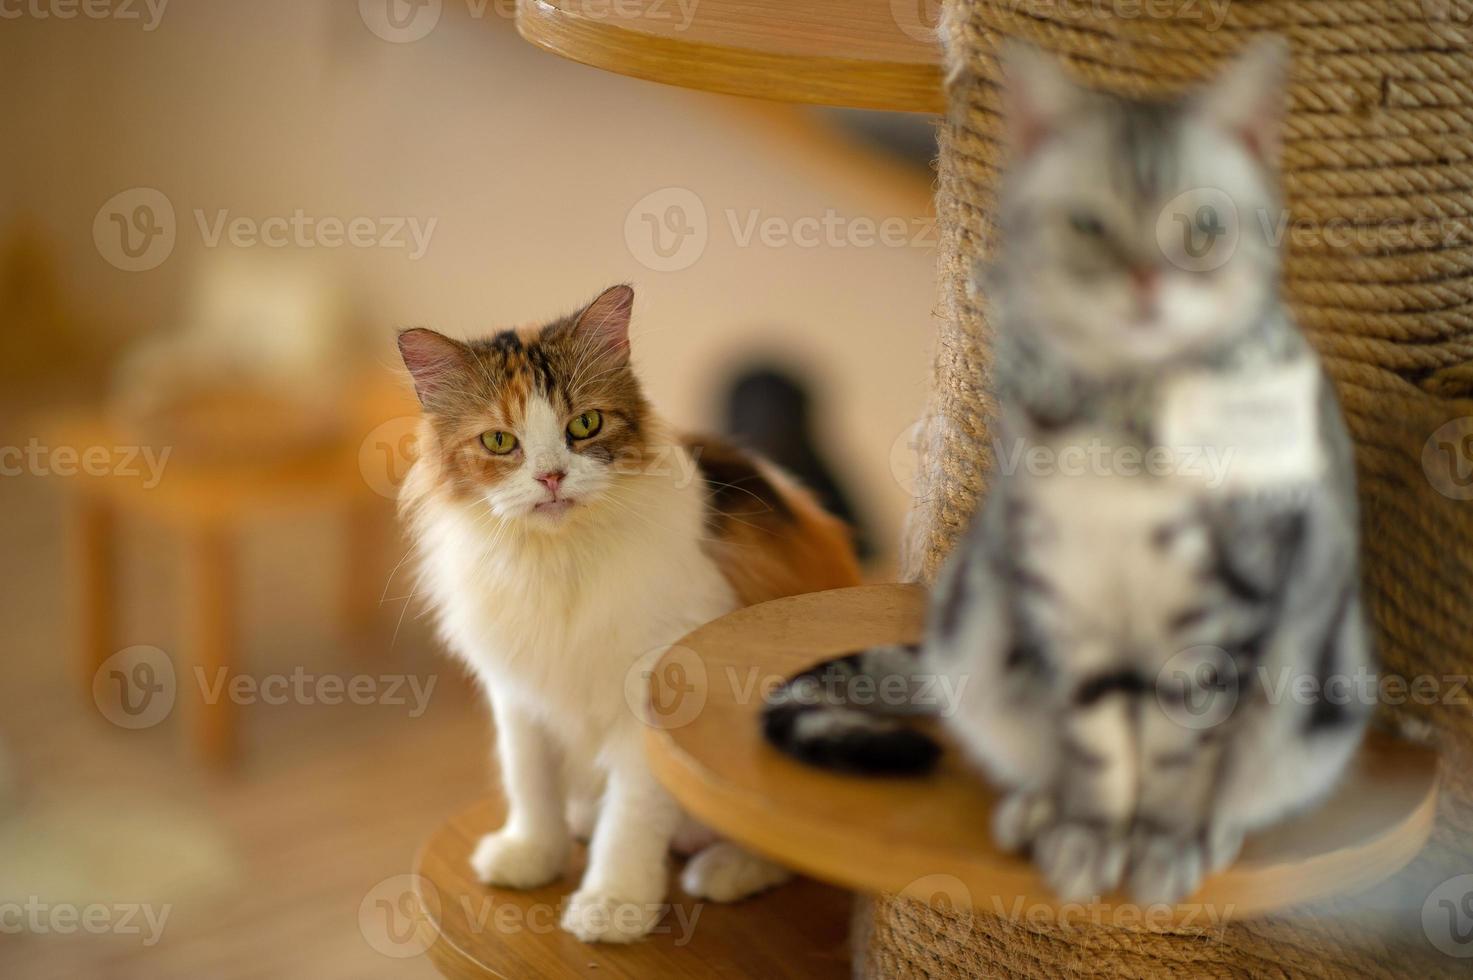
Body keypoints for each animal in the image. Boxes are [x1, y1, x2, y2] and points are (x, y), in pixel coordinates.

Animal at [400, 282, 860, 943]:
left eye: (585, 424)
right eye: (499, 441)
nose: (551, 476)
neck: (558, 561)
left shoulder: (651, 697)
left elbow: (632, 819)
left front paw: (613, 905)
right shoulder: (516, 692)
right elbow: (529, 783)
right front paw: (532, 855)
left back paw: (727, 869)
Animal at [765, 42, 1372, 907]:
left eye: (1204, 228)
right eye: (1088, 224)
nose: (1146, 284)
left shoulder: (1224, 613)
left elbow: (1182, 757)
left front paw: (1162, 843)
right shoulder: (1062, 596)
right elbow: (1096, 745)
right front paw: (1087, 835)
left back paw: (1211, 831)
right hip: (980, 623)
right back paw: (1036, 809)